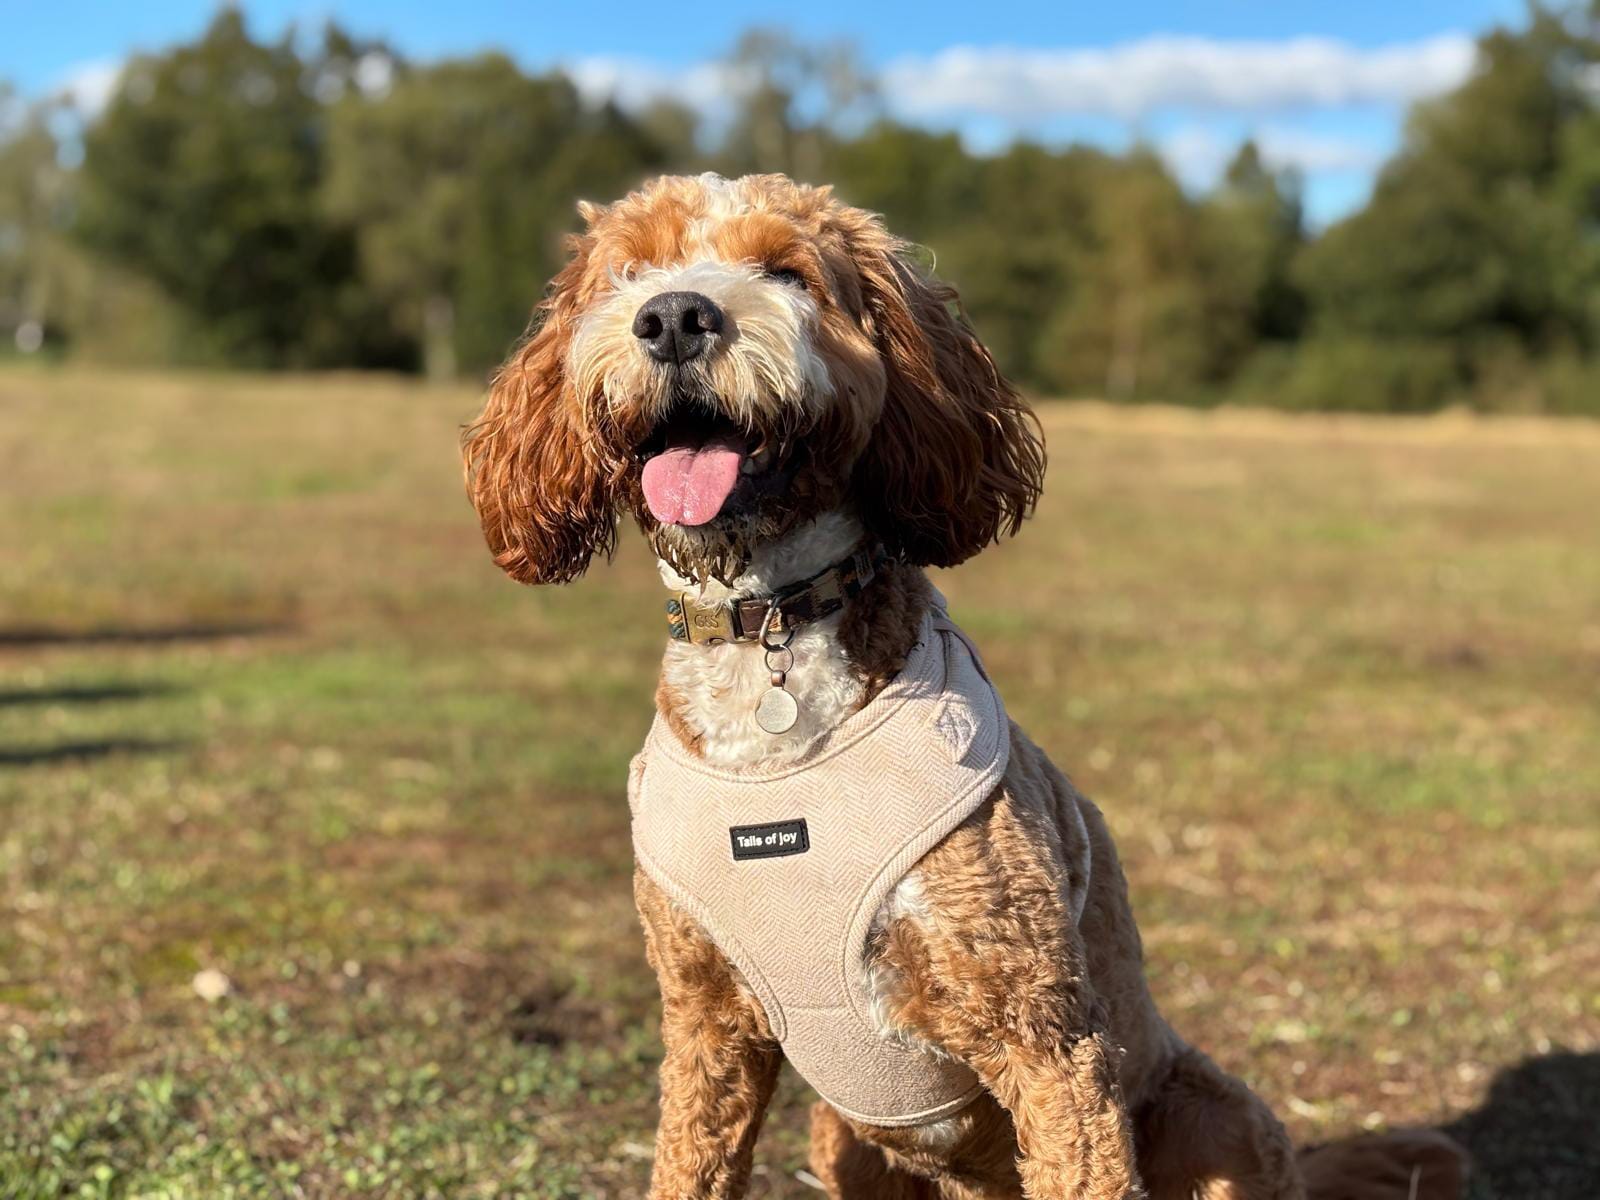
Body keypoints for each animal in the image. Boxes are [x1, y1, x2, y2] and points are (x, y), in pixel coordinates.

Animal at [457, 173, 1465, 1200]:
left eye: (787, 271)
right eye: (631, 271)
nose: (672, 317)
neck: (769, 633)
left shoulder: (1048, 1040)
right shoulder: (707, 1027)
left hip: (1216, 1118)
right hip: (843, 1136)